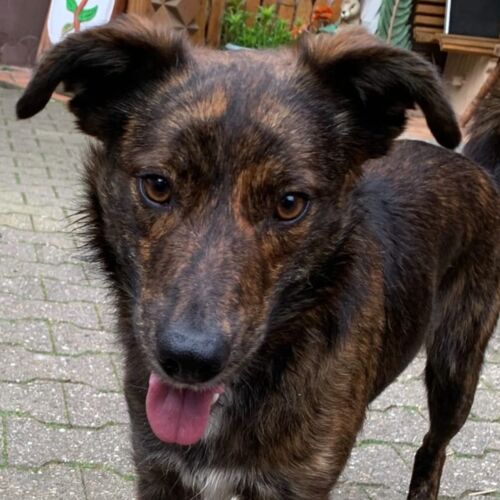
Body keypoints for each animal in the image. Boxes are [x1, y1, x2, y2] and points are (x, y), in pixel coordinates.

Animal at [16, 16, 499, 500]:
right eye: (157, 185)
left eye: (289, 203)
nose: (190, 361)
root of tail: (476, 166)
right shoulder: (161, 471)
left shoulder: (298, 484)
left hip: (454, 373)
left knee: (433, 448)